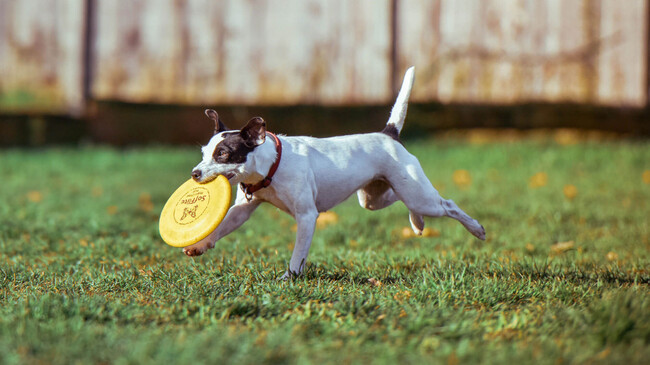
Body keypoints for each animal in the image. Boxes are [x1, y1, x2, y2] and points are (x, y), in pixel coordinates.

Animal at [185, 67, 484, 278]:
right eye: (203, 152)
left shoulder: (307, 217)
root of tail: (388, 134)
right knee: (400, 200)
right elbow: (222, 226)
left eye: (223, 154)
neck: (272, 165)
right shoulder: (242, 210)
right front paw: (201, 244)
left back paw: (476, 228)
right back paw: (417, 223)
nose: (195, 173)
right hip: (374, 198)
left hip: (420, 195)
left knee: (447, 204)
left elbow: (298, 254)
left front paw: (289, 277)